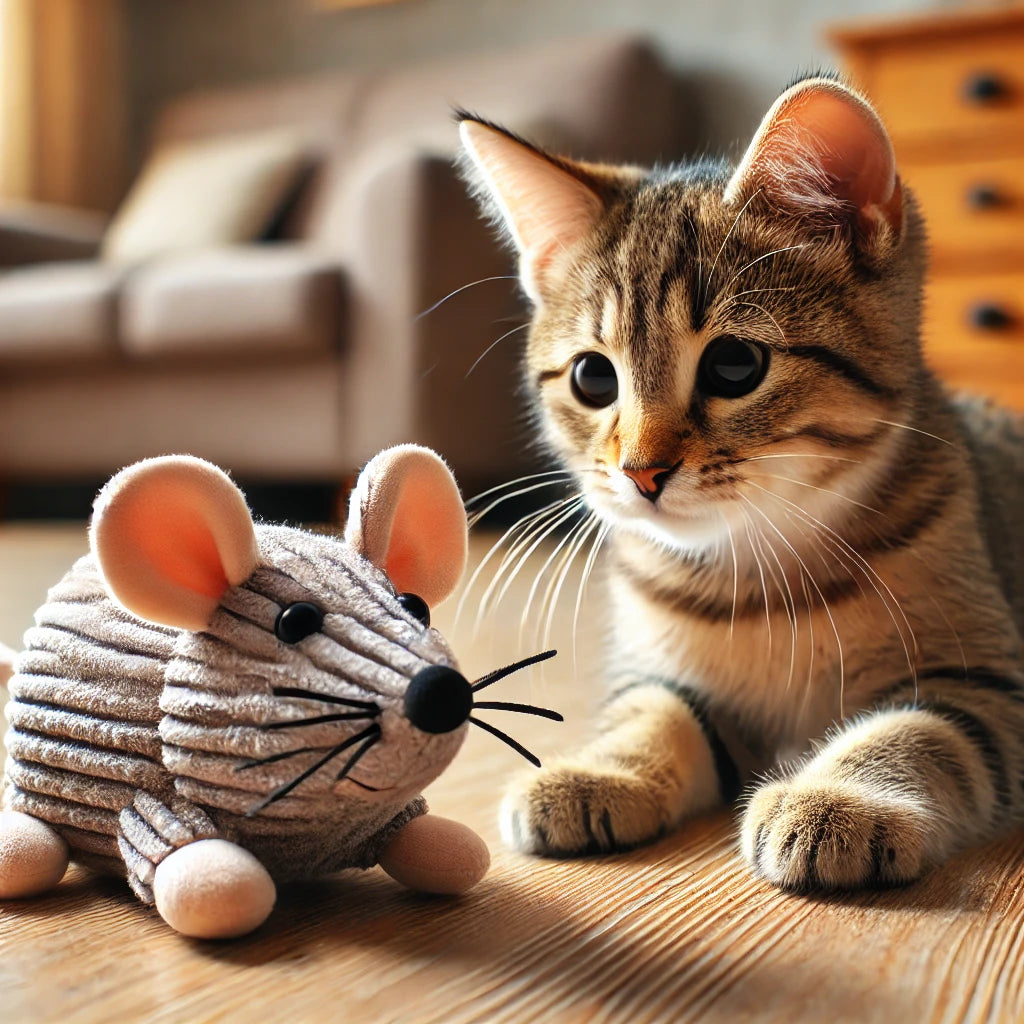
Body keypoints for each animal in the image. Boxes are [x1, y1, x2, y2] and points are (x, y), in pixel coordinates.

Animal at [456, 75, 1024, 888]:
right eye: (593, 378)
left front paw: (838, 796)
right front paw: (603, 769)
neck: (758, 576)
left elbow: (919, 731)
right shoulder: (660, 674)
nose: (641, 472)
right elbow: (653, 713)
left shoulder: (985, 682)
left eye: (734, 365)